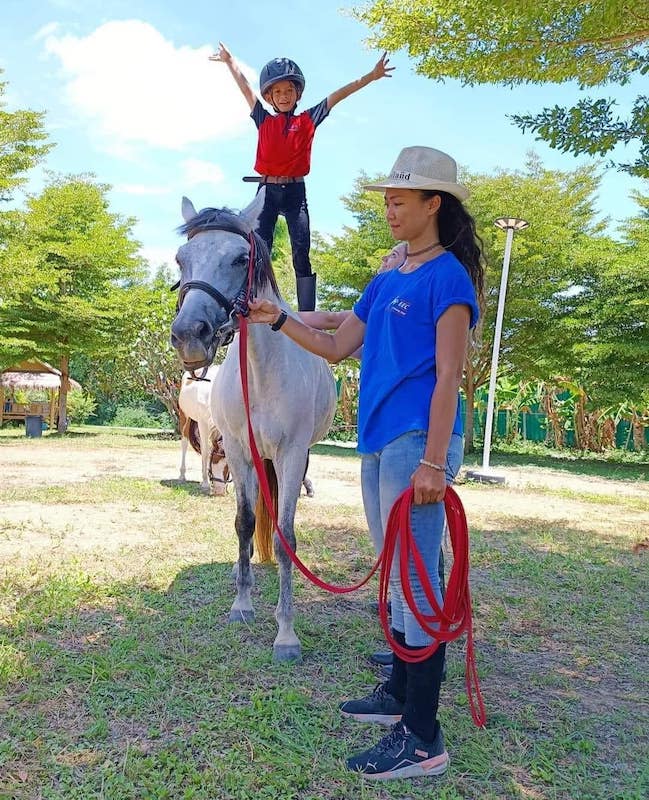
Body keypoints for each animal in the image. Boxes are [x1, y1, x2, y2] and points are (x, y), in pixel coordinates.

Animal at [168, 191, 334, 660]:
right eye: (181, 258)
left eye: (241, 258)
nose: (190, 335)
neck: (260, 372)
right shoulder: (240, 451)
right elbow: (244, 522)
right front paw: (241, 604)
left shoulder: (292, 453)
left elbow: (285, 536)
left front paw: (286, 632)